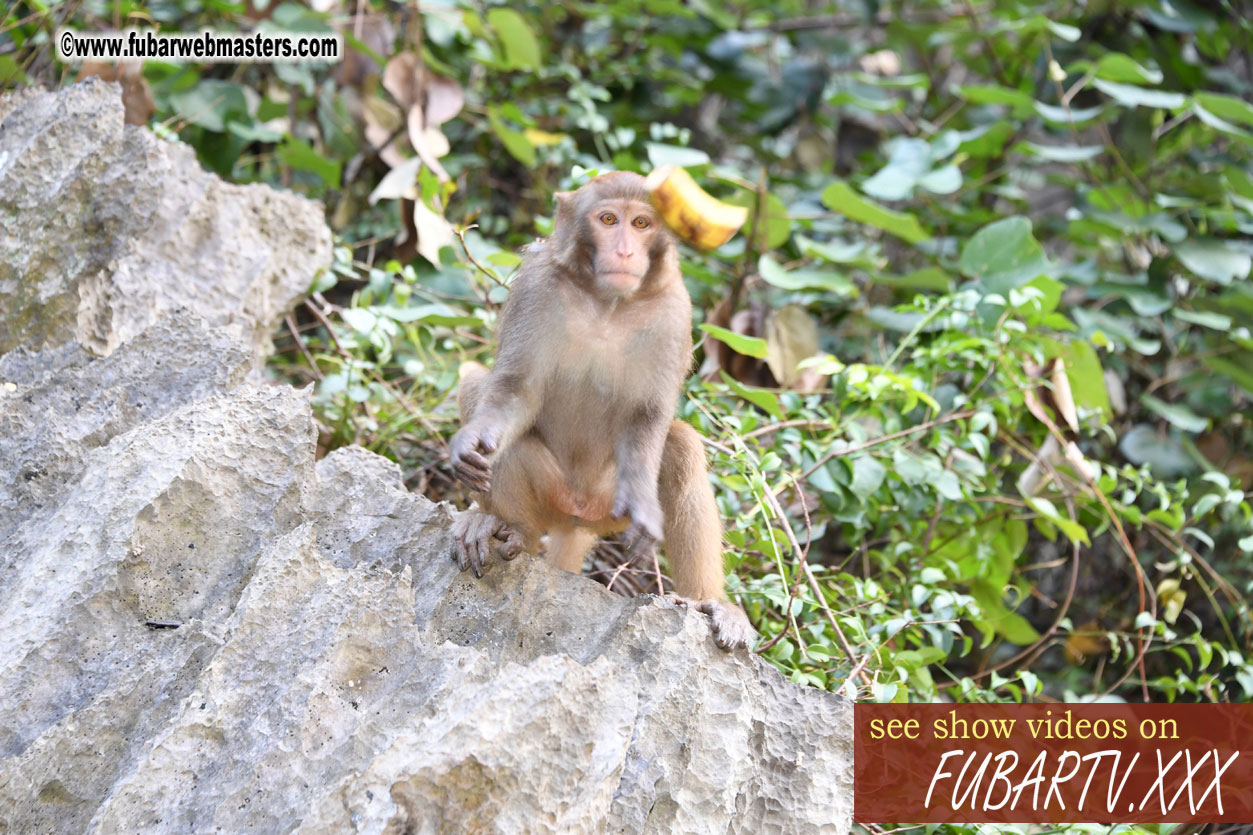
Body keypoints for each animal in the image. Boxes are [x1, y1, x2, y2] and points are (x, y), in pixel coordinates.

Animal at [453, 170, 751, 651]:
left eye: (642, 223)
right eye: (608, 219)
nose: (626, 251)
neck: (606, 302)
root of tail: (577, 516)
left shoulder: (674, 311)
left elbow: (649, 416)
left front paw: (646, 502)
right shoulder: (536, 286)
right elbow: (513, 390)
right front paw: (474, 445)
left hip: (607, 504)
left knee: (682, 450)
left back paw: (709, 603)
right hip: (552, 495)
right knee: (476, 387)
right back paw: (504, 526)